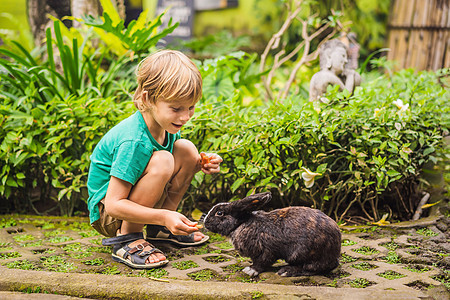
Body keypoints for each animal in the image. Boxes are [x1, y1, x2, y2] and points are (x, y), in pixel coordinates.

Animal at [204, 192, 342, 276]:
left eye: (219, 213)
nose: (205, 223)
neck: (241, 224)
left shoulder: (266, 251)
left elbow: (262, 262)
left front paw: (250, 270)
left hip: (303, 254)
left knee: (314, 267)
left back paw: (286, 271)